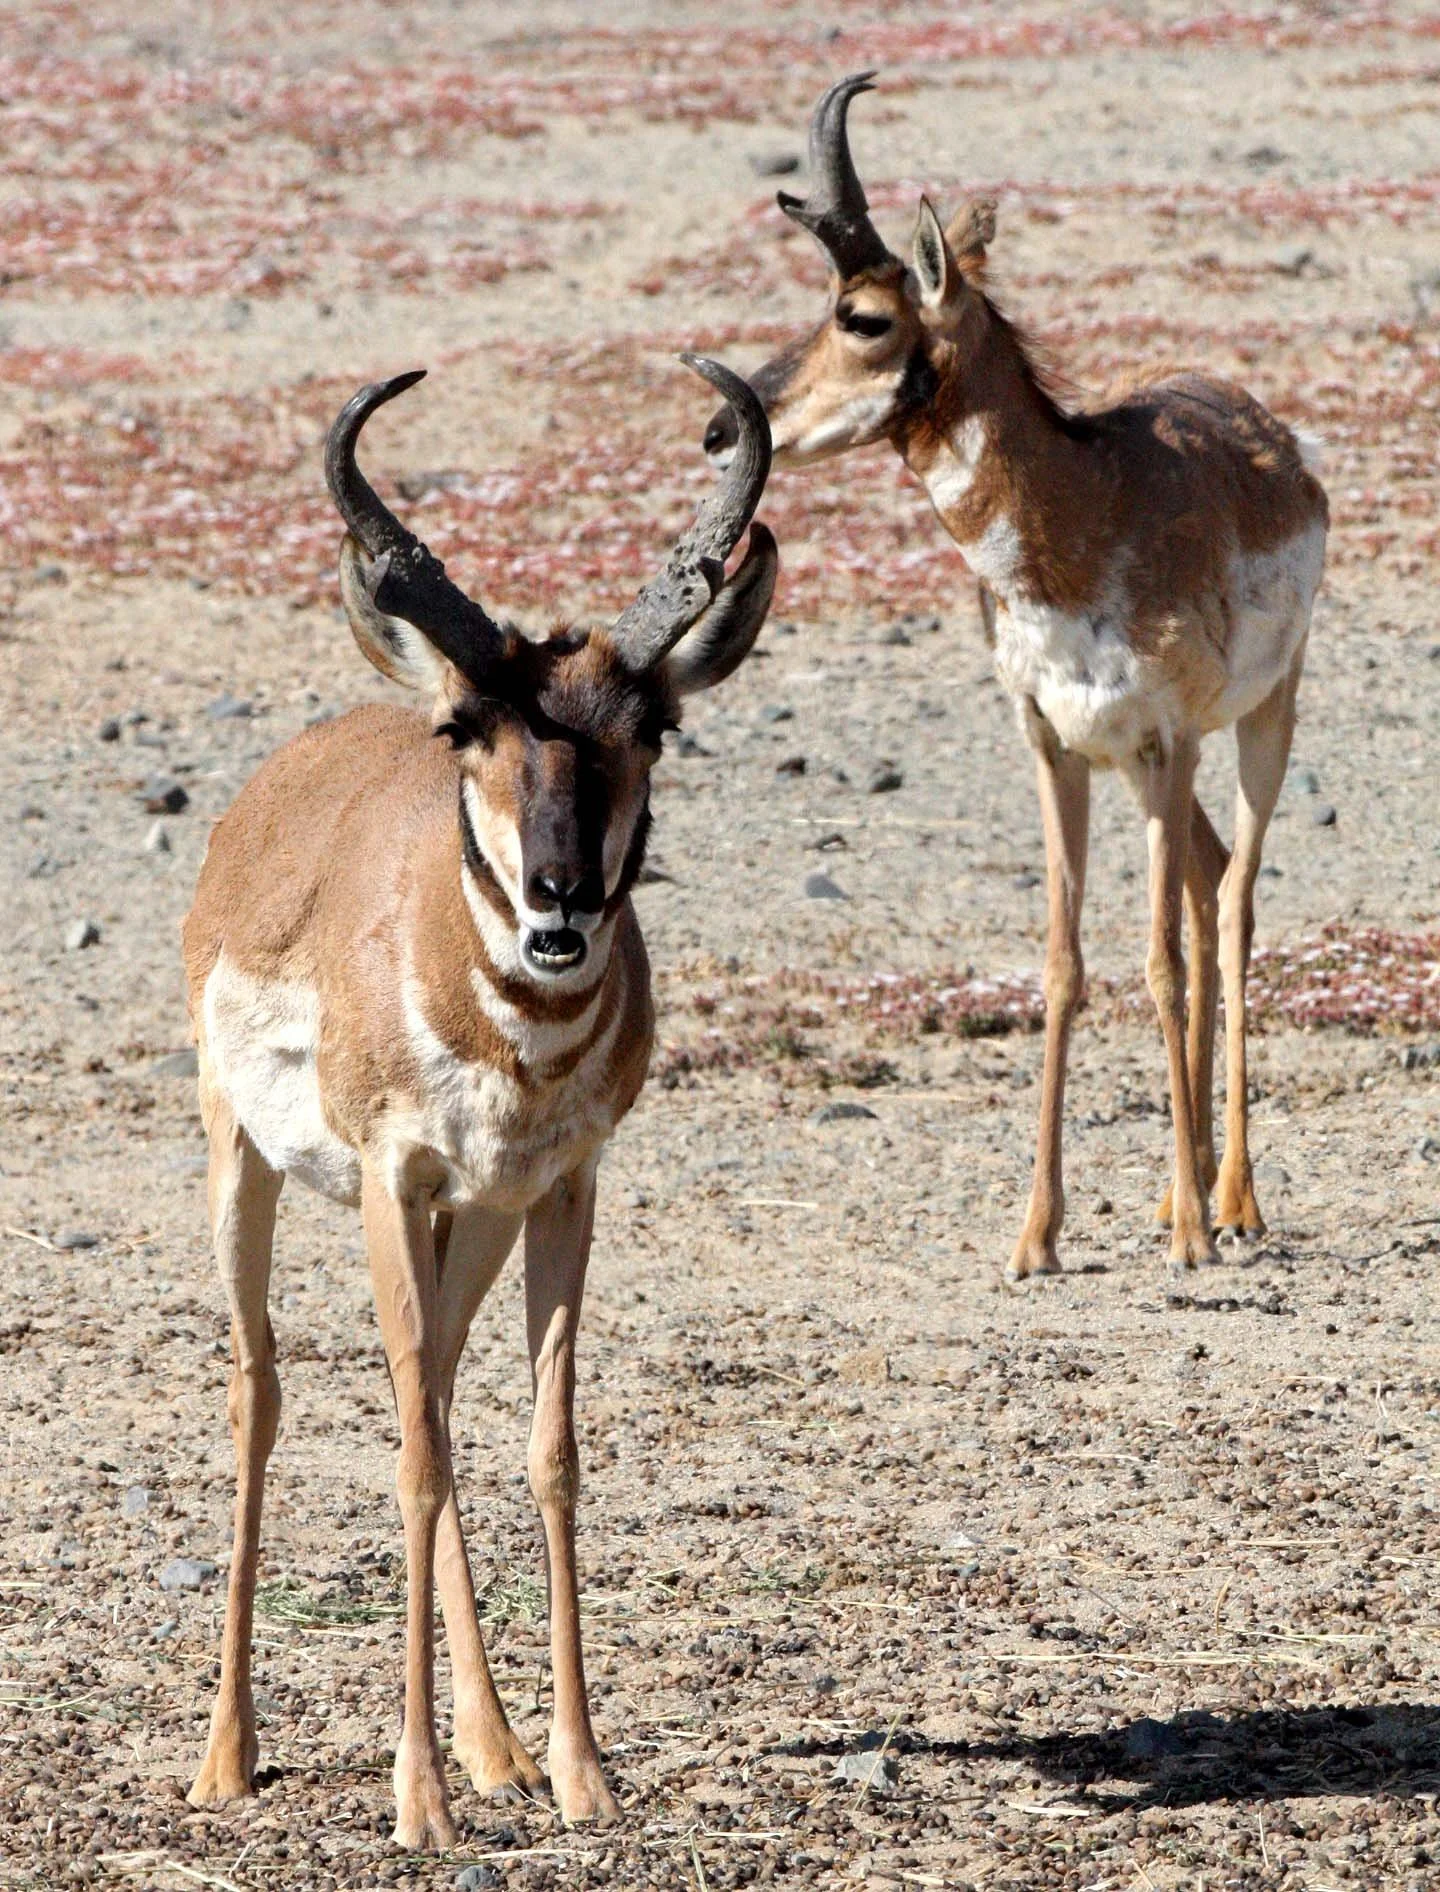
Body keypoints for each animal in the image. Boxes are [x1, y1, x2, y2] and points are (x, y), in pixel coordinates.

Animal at [182, 356, 776, 1847]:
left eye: (654, 726)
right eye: (472, 727)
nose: (562, 899)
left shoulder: (560, 1188)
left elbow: (542, 1447)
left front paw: (575, 1770)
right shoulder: (393, 1185)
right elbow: (411, 1457)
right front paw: (419, 1800)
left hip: (478, 1223)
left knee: (437, 1386)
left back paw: (495, 1746)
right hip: (245, 1170)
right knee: (264, 1389)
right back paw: (227, 1756)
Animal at [705, 73, 1327, 1277]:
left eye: (863, 316)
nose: (723, 428)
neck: (1085, 512)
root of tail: (1267, 429)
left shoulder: (1165, 741)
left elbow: (1160, 962)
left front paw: (1193, 1234)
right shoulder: (1054, 745)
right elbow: (1064, 964)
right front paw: (1037, 1231)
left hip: (1255, 728)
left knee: (1231, 902)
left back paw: (1230, 1199)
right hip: (1156, 772)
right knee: (1205, 881)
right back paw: (1174, 1192)